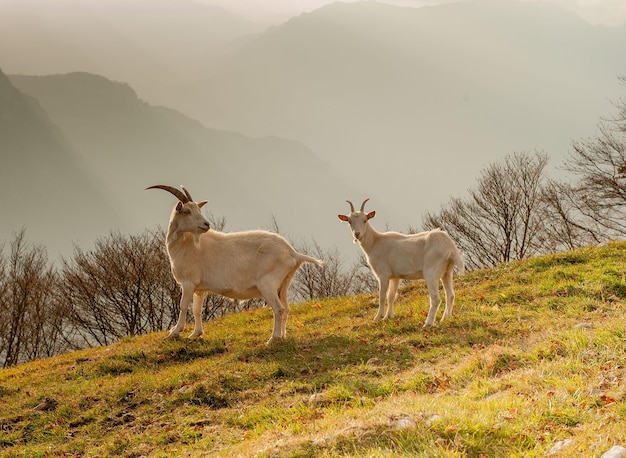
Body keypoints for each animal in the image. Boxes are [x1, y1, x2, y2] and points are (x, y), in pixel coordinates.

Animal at [146, 185, 322, 344]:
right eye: (188, 211)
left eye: (197, 210)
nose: (206, 225)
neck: (186, 244)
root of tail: (293, 253)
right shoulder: (200, 288)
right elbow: (197, 310)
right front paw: (195, 334)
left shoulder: (188, 283)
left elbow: (183, 306)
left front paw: (175, 332)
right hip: (283, 285)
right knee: (286, 308)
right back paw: (283, 336)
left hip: (268, 284)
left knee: (279, 309)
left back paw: (273, 339)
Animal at [336, 199, 464, 328]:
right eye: (349, 221)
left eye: (365, 220)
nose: (357, 234)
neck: (375, 242)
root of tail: (449, 246)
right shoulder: (395, 277)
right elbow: (391, 296)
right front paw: (388, 317)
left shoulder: (383, 275)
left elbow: (382, 296)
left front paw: (378, 317)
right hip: (447, 271)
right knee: (450, 295)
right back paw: (444, 318)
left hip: (431, 273)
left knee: (435, 298)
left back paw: (427, 324)